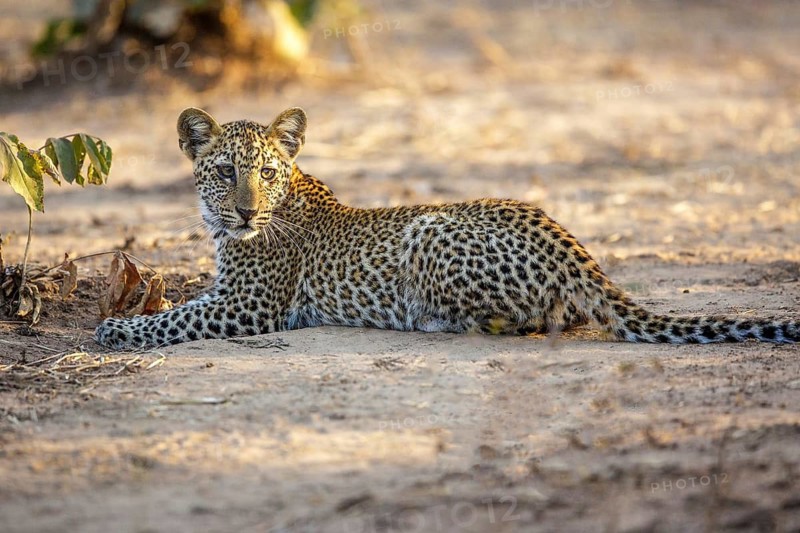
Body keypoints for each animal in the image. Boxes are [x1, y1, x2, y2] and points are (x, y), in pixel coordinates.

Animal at [94, 106, 800, 350]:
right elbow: (180, 306)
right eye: (225, 172)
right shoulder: (229, 293)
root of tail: (576, 251)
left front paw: (116, 329)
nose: (244, 211)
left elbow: (173, 320)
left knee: (528, 323)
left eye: (267, 172)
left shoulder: (248, 304)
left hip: (430, 232)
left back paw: (435, 320)